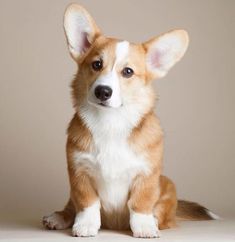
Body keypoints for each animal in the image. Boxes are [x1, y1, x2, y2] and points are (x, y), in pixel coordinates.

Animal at [42, 3, 218, 238]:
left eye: (128, 72)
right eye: (96, 64)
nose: (103, 91)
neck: (111, 122)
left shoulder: (147, 175)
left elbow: (140, 203)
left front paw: (144, 227)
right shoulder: (79, 173)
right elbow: (87, 203)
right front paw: (86, 225)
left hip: (168, 185)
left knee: (162, 213)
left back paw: (154, 220)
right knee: (70, 206)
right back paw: (58, 217)